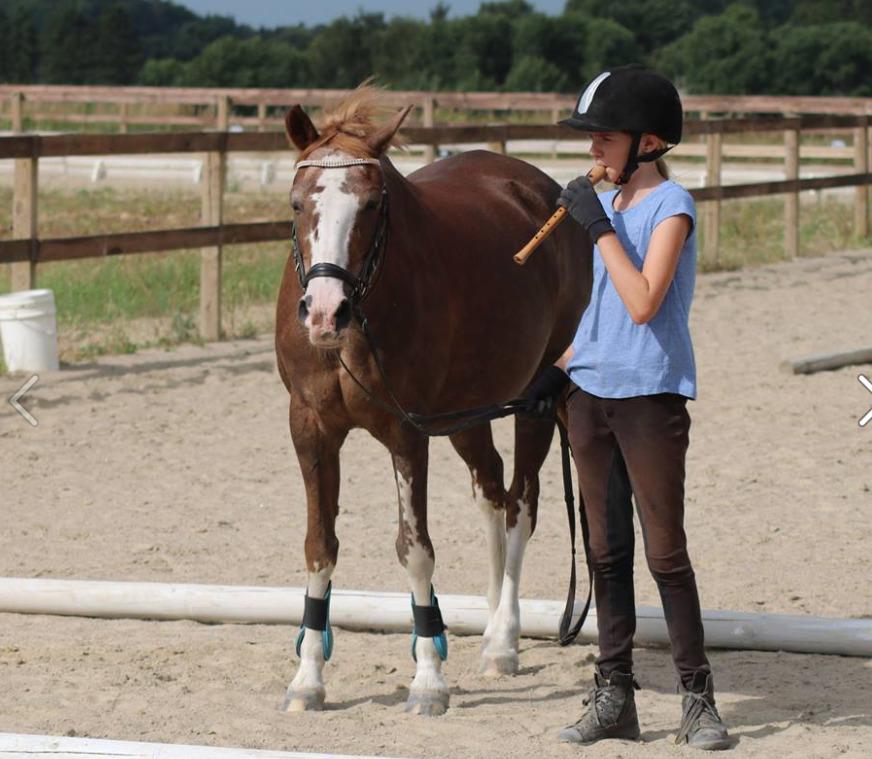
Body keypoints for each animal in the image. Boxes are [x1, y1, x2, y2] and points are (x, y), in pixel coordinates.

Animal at [274, 86, 592, 716]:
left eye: (373, 204)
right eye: (297, 204)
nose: (324, 313)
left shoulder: (407, 432)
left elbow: (415, 550)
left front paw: (427, 680)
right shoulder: (311, 429)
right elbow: (320, 547)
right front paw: (308, 678)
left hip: (538, 404)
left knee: (521, 505)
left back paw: (503, 641)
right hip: (469, 414)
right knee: (491, 492)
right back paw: (488, 624)